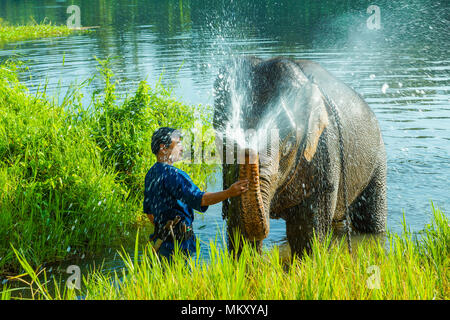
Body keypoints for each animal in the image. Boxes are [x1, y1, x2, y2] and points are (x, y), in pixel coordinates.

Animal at [214, 57, 386, 258]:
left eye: (288, 146)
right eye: (225, 142)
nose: (249, 148)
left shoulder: (324, 154)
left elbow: (306, 233)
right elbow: (238, 231)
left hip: (378, 158)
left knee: (370, 220)